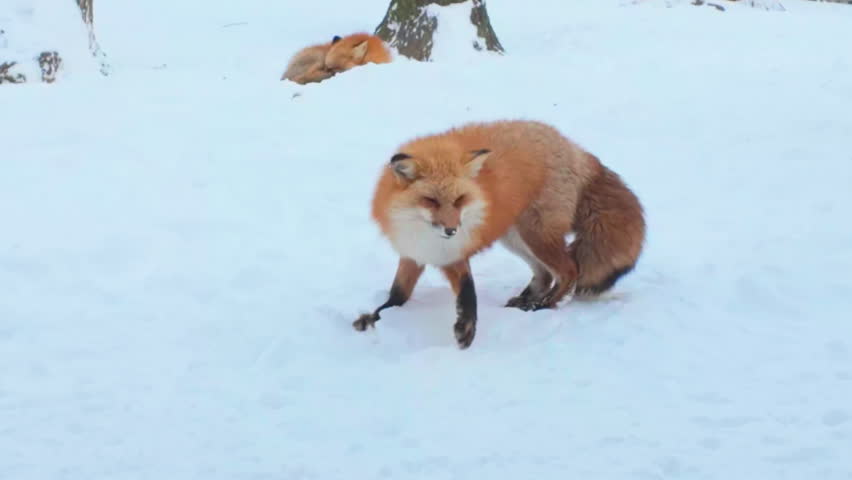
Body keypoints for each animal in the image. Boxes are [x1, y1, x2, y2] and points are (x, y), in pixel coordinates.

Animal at [353, 120, 646, 349]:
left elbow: (468, 291)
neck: (418, 228)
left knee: (569, 270)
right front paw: (373, 318)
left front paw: (467, 329)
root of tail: (575, 149)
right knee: (545, 274)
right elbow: (397, 295)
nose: (451, 230)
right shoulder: (413, 253)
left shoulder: (454, 253)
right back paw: (525, 301)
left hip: (536, 235)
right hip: (515, 238)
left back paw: (543, 306)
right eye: (431, 201)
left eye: (459, 199)